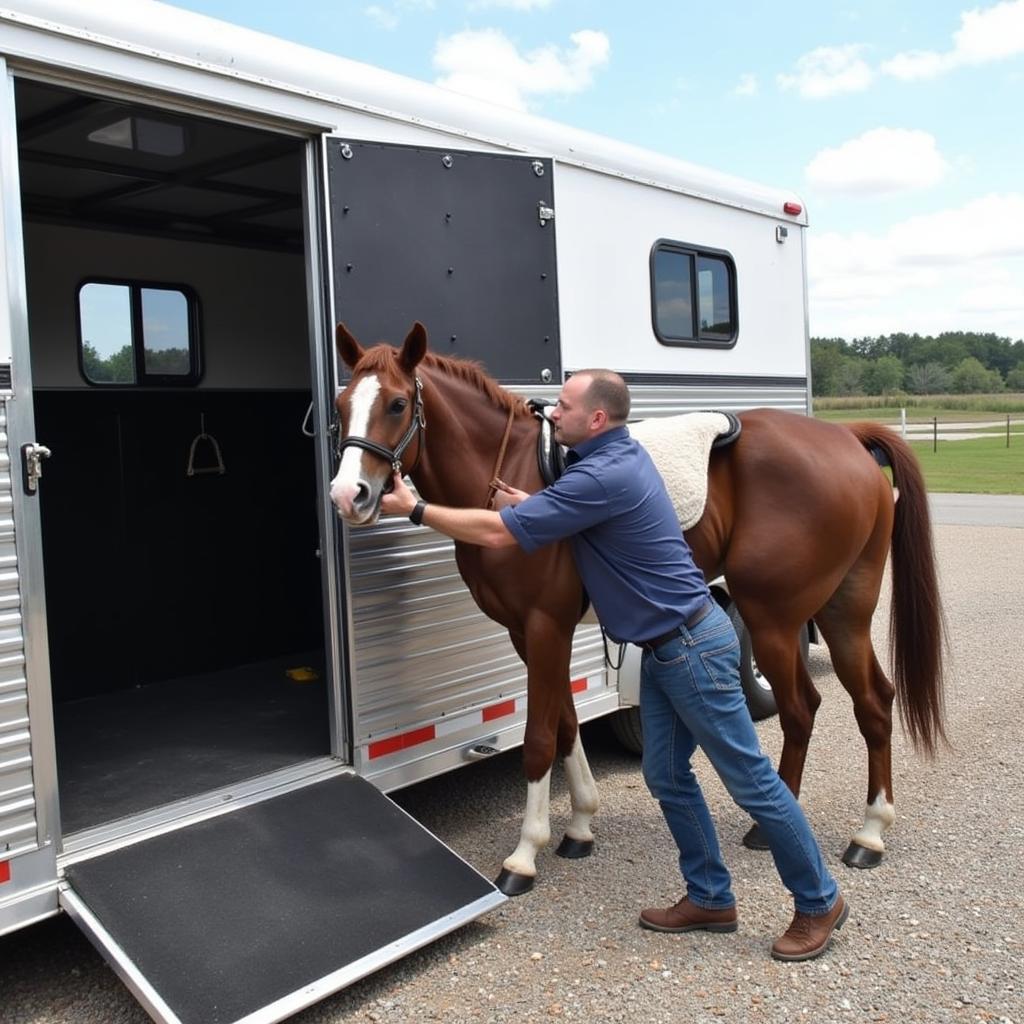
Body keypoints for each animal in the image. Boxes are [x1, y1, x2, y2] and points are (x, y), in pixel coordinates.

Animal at [327, 319, 942, 897]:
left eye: (397, 403)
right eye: (340, 406)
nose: (347, 495)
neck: (508, 477)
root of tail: (847, 440)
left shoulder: (544, 627)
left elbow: (539, 738)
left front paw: (524, 855)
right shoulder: (532, 635)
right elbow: (567, 724)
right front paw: (579, 826)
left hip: (772, 617)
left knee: (801, 709)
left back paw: (776, 828)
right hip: (844, 612)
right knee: (872, 701)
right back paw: (869, 833)